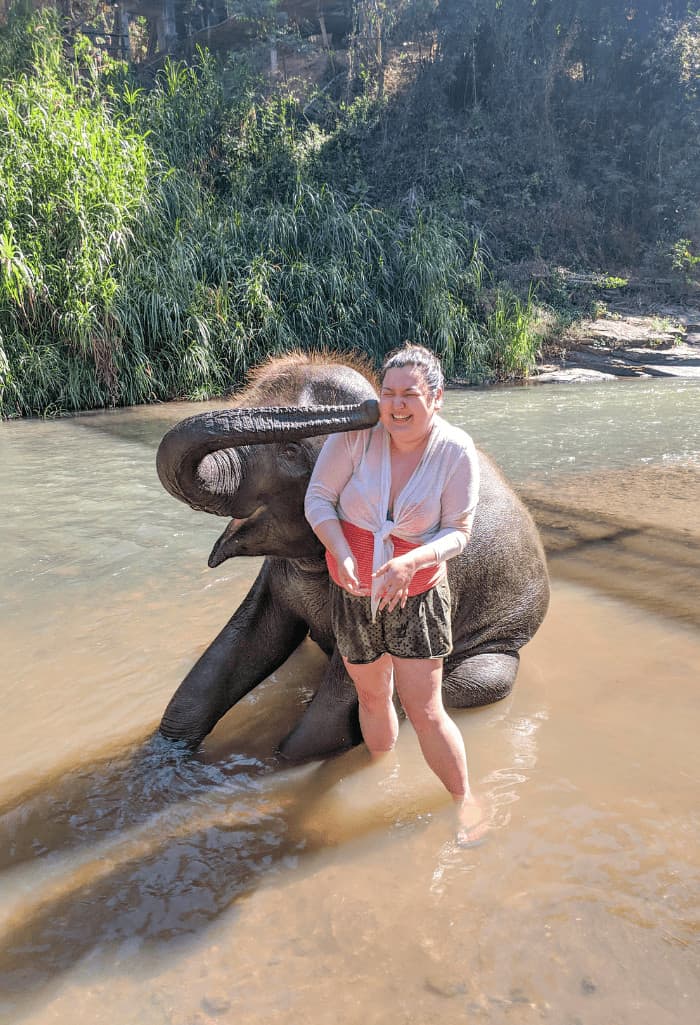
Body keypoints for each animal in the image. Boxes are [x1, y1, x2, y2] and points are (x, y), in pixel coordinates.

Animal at [155, 354, 549, 762]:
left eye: (290, 452)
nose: (373, 409)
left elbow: (327, 720)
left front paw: (274, 765)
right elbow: (238, 648)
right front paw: (167, 758)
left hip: (503, 640)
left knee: (472, 682)